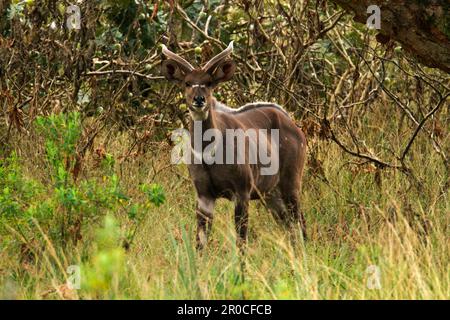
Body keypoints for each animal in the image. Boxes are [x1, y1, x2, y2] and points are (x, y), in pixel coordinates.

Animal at [160, 41, 308, 249]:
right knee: (289, 224)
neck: (209, 155)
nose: (199, 100)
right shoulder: (204, 195)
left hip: (291, 182)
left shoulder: (242, 191)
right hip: (271, 193)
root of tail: (294, 126)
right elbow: (200, 243)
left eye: (209, 82)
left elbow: (241, 241)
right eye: (187, 83)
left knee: (300, 222)